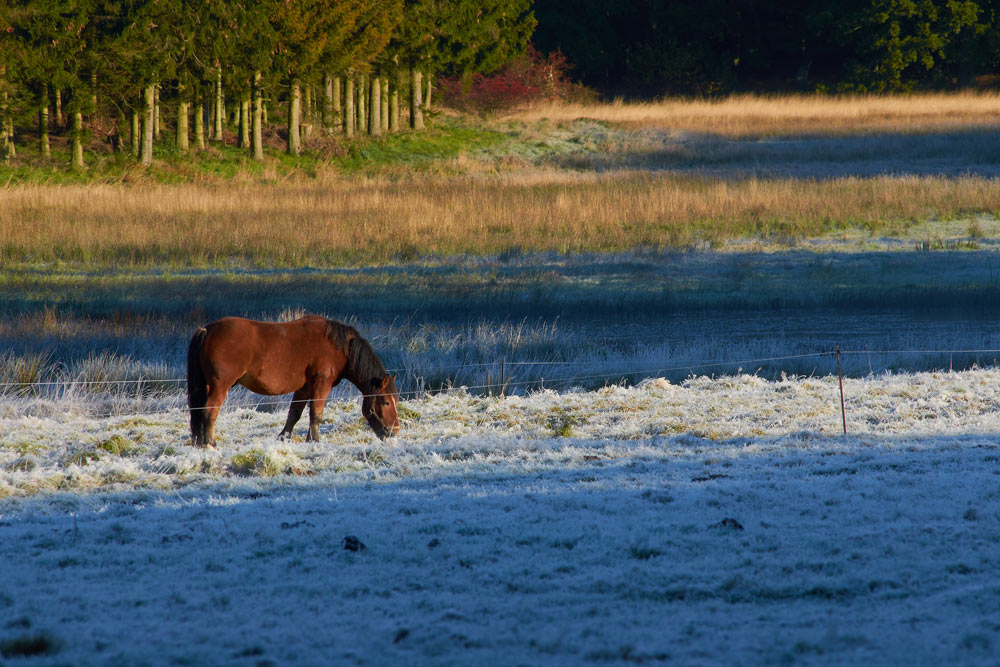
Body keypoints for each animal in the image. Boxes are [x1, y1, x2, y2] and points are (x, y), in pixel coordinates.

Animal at [189, 318, 400, 448]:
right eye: (386, 402)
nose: (395, 431)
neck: (338, 347)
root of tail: (207, 329)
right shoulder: (321, 384)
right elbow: (316, 414)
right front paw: (314, 441)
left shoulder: (304, 388)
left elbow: (294, 414)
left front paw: (283, 438)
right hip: (220, 386)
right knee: (209, 411)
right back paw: (210, 444)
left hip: (208, 386)